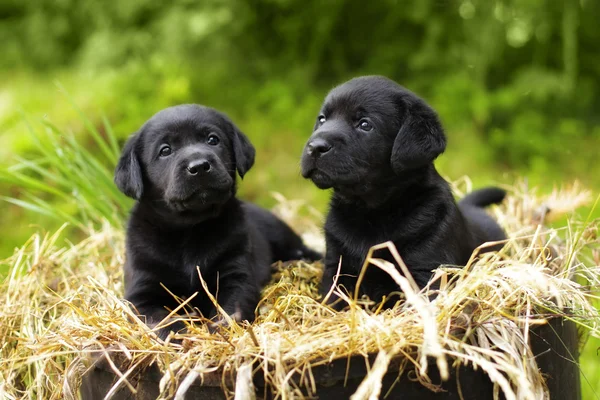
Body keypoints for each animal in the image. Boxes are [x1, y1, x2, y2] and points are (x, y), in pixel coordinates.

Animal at [113, 104, 318, 338]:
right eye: (165, 150)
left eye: (213, 139)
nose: (199, 166)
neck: (189, 230)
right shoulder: (141, 293)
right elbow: (159, 319)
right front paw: (180, 335)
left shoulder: (236, 275)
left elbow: (230, 309)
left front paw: (221, 330)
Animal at [300, 76, 506, 310]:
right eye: (322, 119)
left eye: (365, 124)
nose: (315, 146)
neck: (372, 211)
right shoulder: (336, 266)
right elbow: (332, 298)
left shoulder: (427, 270)